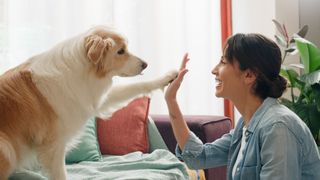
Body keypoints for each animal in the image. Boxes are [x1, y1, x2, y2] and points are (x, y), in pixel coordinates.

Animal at [0, 25, 178, 180]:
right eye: (120, 51)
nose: (145, 64)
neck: (84, 70)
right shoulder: (54, 145)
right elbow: (60, 174)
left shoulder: (94, 99)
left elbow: (137, 86)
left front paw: (166, 78)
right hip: (7, 148)